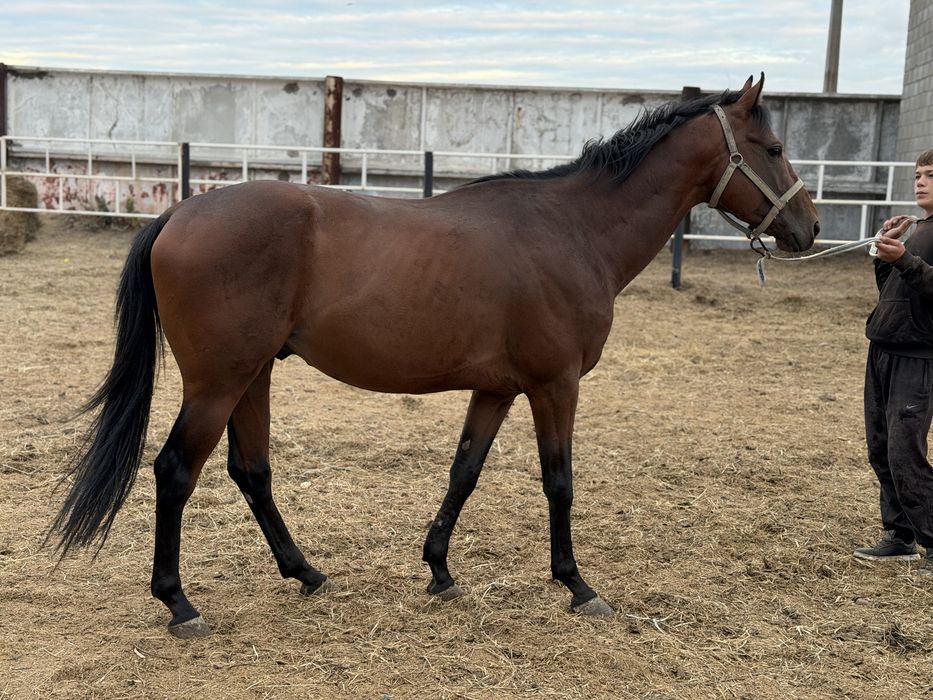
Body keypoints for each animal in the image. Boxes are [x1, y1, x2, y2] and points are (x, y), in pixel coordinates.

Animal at [50, 74, 819, 638]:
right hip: (218, 382)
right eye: (775, 146)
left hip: (253, 376)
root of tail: (180, 212)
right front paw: (576, 584)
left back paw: (306, 573)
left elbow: (464, 473)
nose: (808, 229)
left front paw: (440, 571)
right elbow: (559, 482)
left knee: (252, 472)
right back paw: (179, 604)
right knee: (176, 472)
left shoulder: (497, 389)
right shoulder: (555, 385)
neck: (573, 229)